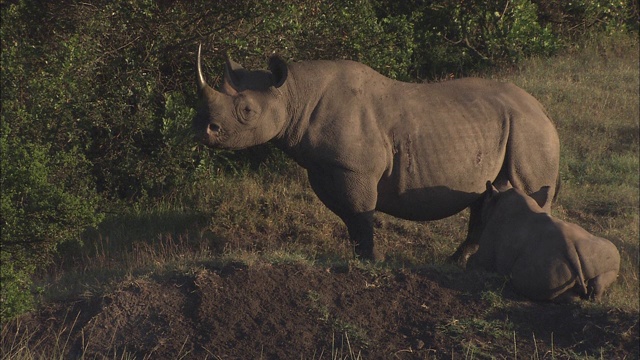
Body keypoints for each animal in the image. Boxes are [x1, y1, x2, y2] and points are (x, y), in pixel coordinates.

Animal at [194, 45, 560, 262]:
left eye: (246, 111)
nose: (203, 129)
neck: (293, 95)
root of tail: (543, 110)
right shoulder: (326, 167)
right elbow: (351, 217)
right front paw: (361, 256)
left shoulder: (354, 168)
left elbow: (360, 215)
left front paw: (369, 262)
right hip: (508, 125)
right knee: (490, 195)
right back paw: (457, 263)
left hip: (528, 129)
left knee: (526, 191)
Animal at [468, 180, 616, 300]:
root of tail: (570, 248)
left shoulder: (486, 250)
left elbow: (475, 261)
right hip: (596, 248)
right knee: (610, 265)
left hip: (544, 267)